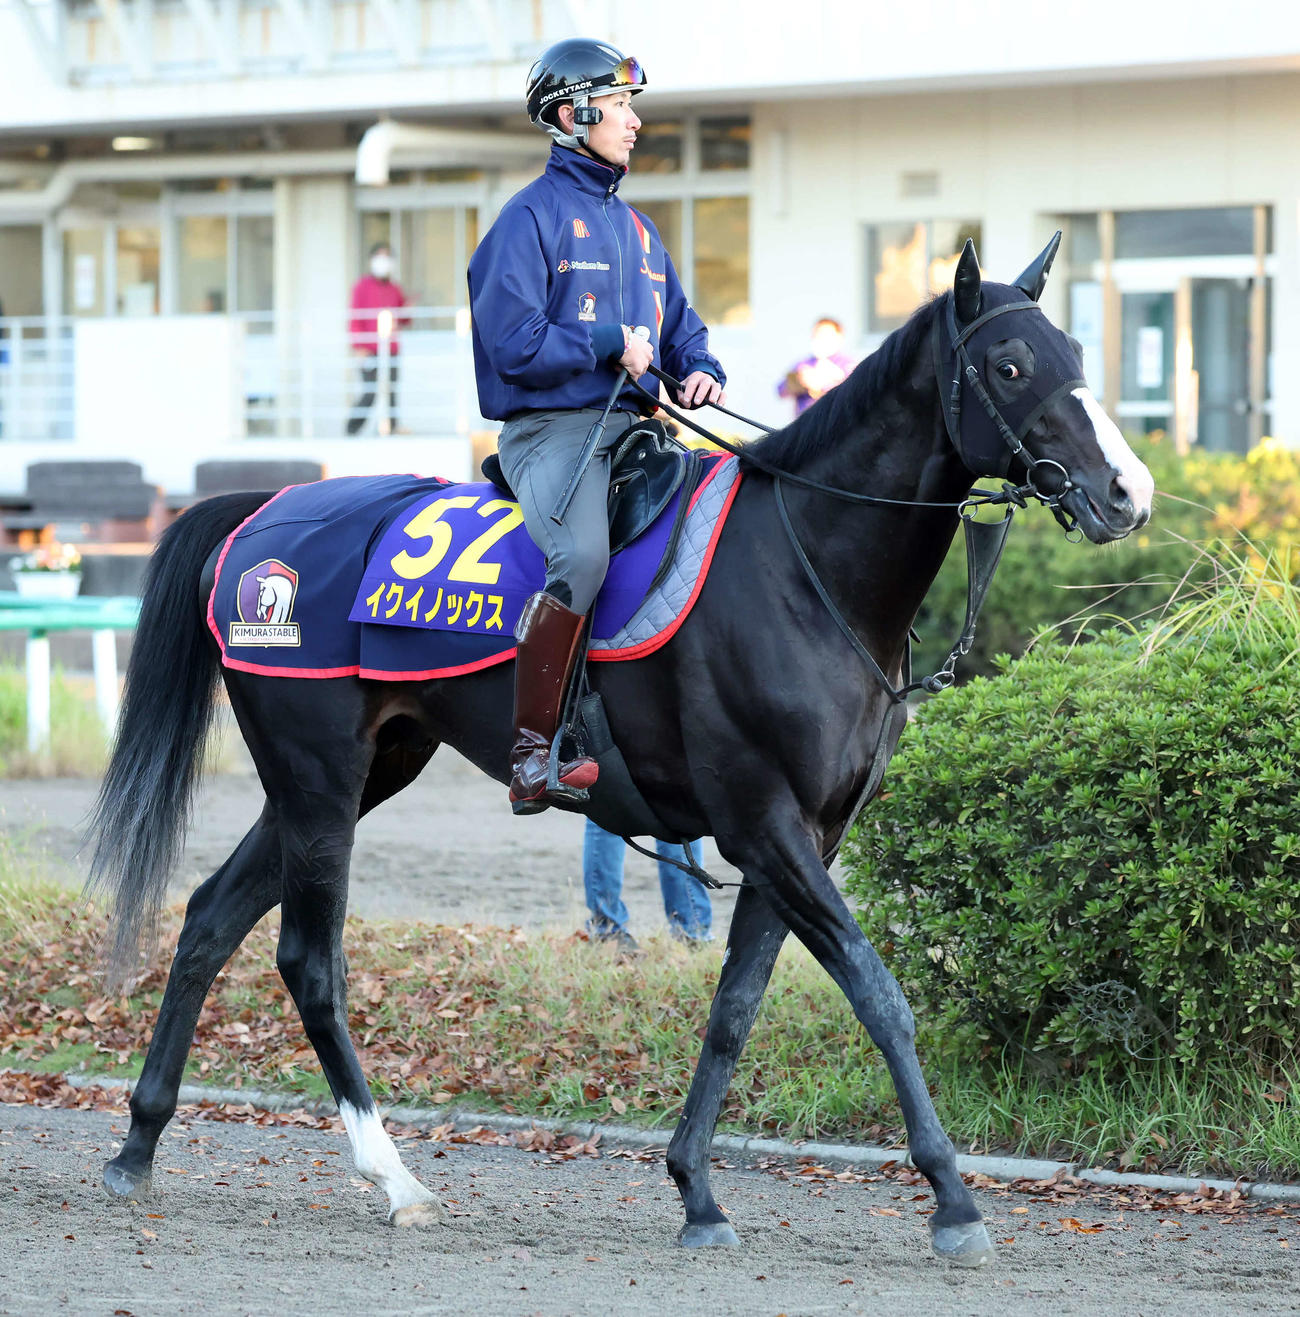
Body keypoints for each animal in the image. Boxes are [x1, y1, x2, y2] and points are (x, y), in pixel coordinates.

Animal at [86, 237, 1153, 1266]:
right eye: (1011, 364)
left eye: (1076, 354)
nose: (1127, 491)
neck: (803, 566)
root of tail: (262, 514)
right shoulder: (767, 828)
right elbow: (879, 995)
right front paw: (953, 1199)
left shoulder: (802, 838)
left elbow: (734, 1009)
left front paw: (697, 1190)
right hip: (320, 781)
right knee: (309, 961)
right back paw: (393, 1176)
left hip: (355, 775)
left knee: (209, 918)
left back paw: (138, 1142)